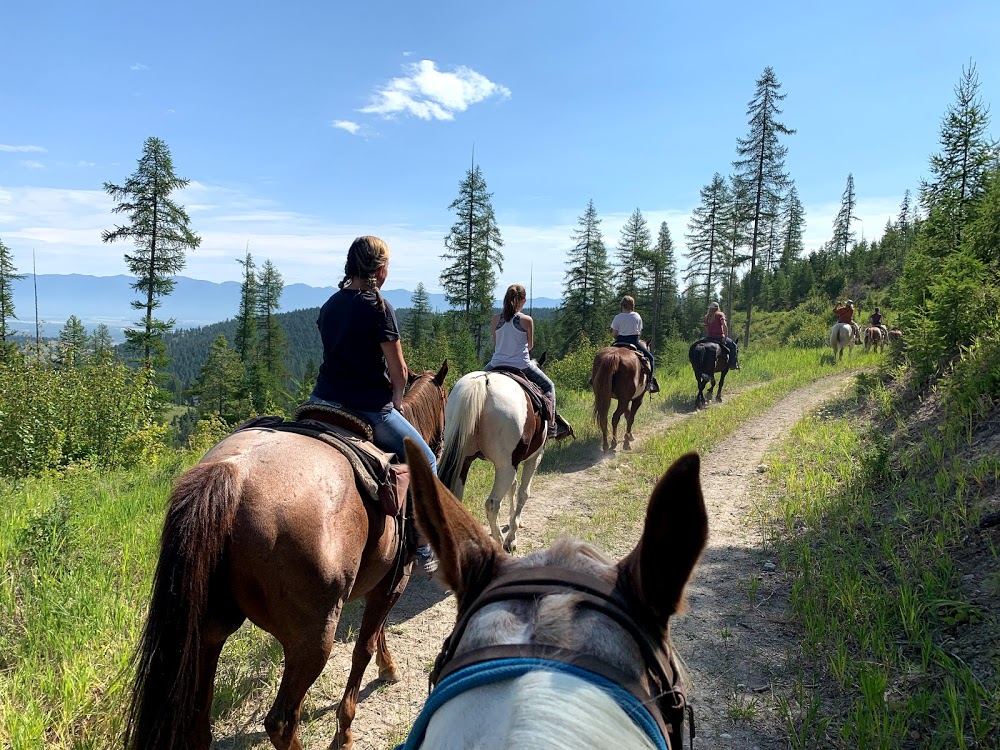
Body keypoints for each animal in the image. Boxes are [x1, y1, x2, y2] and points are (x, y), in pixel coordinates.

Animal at [125, 364, 450, 750]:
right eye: (446, 399)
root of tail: (231, 475)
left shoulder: (381, 580)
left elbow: (376, 633)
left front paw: (388, 668)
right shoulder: (394, 579)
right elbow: (364, 647)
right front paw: (345, 729)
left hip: (209, 630)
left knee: (199, 723)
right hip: (313, 637)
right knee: (281, 722)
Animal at [436, 356, 548, 556]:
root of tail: (483, 382)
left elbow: (513, 487)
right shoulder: (534, 458)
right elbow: (523, 493)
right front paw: (512, 538)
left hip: (464, 461)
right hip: (505, 466)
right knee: (492, 504)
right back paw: (500, 542)